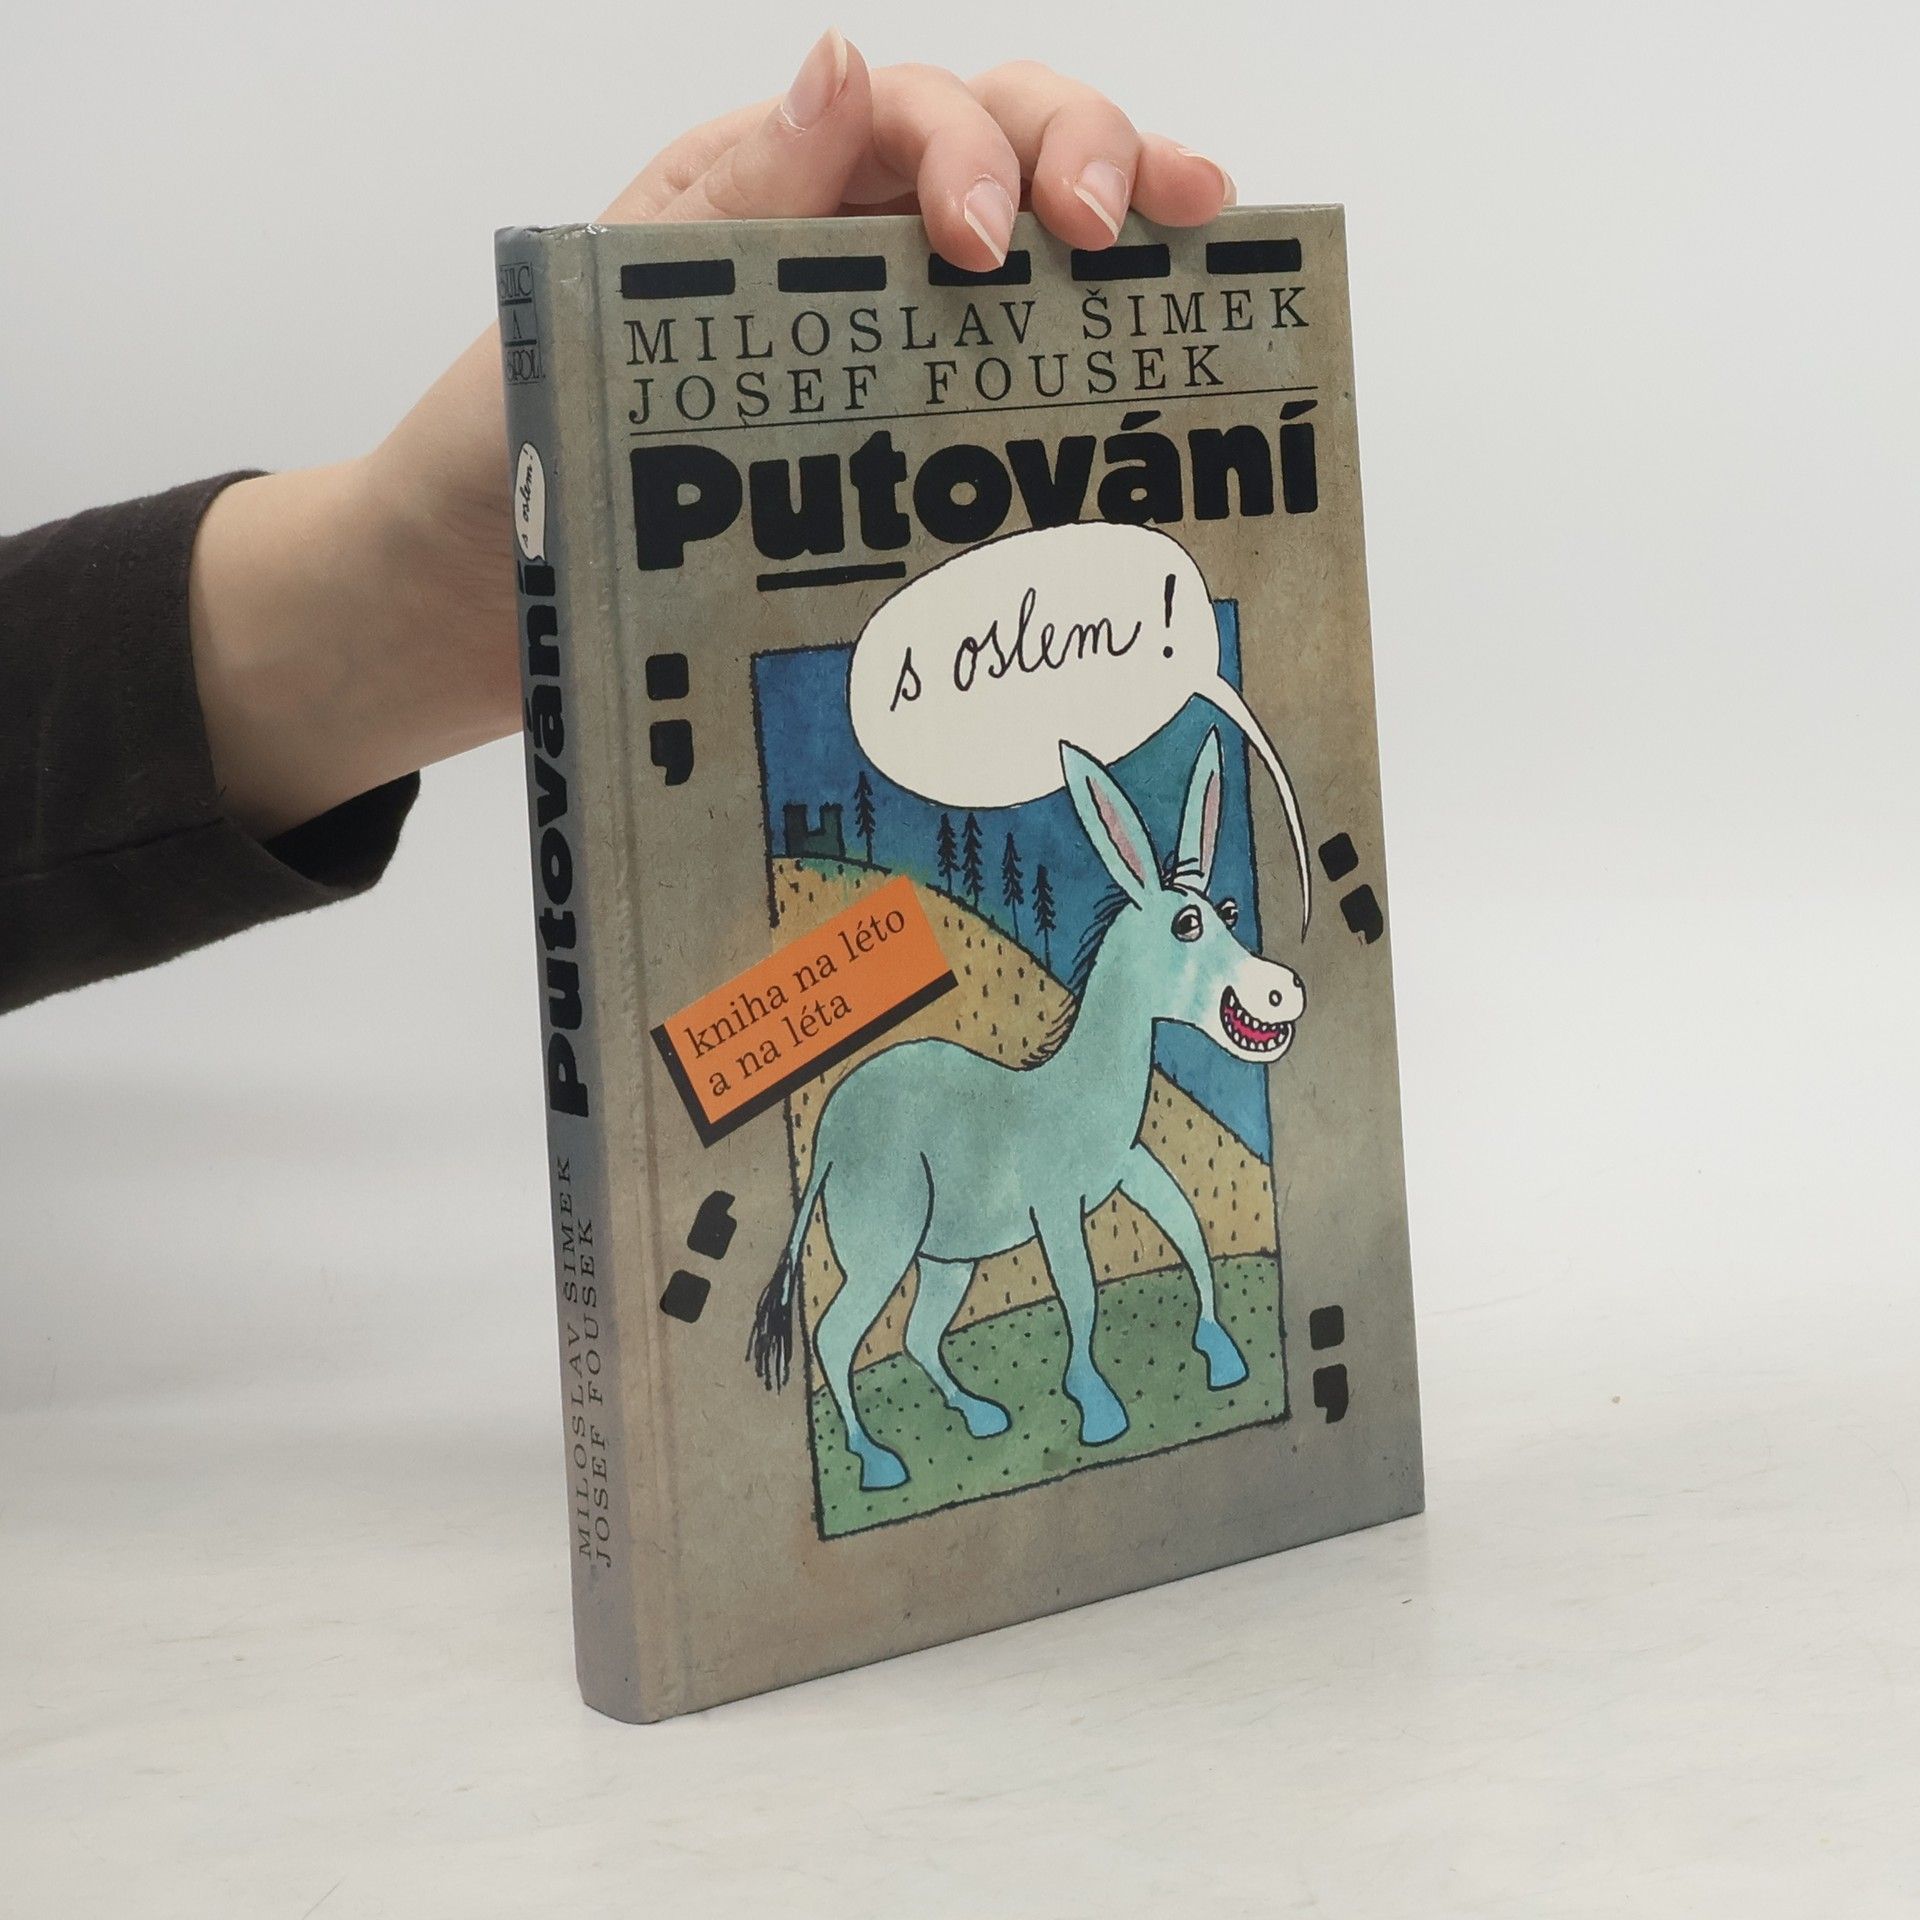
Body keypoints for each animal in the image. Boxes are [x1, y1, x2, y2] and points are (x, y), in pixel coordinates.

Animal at [749, 730, 1307, 1492]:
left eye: (1227, 912)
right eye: (1187, 923)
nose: (1287, 990)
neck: (1083, 1088)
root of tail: (829, 1136)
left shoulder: (1130, 1167)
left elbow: (1188, 1230)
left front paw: (1221, 1356)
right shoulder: (1056, 1205)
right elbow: (1081, 1292)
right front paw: (1098, 1409)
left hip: (946, 1257)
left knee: (919, 1333)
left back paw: (981, 1417)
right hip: (885, 1243)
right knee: (836, 1337)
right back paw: (880, 1463)